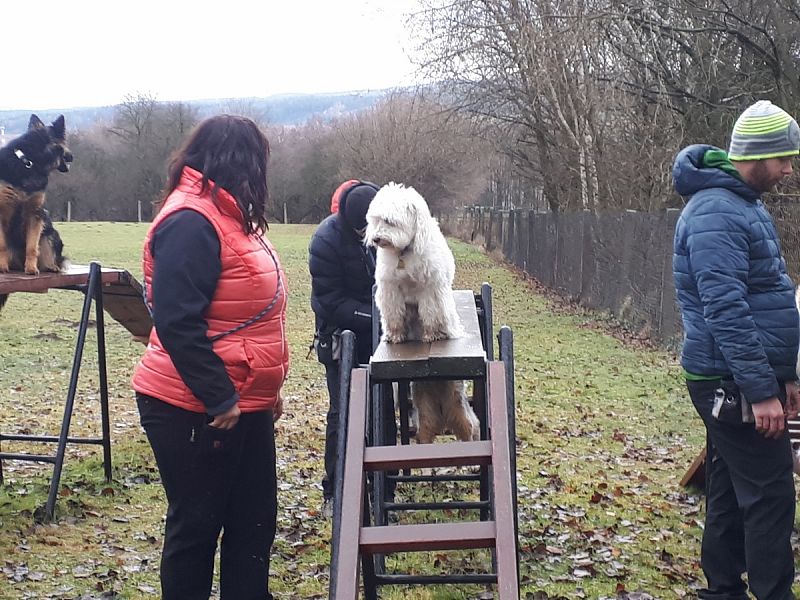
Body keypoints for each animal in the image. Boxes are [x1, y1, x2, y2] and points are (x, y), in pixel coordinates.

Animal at [0, 115, 72, 308]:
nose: (72, 156)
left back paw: (51, 266)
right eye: (65, 143)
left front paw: (31, 269)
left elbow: (32, 247)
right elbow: (2, 245)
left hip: (50, 233)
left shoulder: (35, 213)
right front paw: (2, 267)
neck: (28, 163)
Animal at [364, 180, 482, 442]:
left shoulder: (429, 288)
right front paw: (395, 336)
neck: (404, 252)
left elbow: (430, 312)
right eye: (375, 219)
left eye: (390, 220)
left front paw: (432, 334)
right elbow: (394, 315)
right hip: (426, 415)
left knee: (470, 425)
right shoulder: (391, 289)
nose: (377, 239)